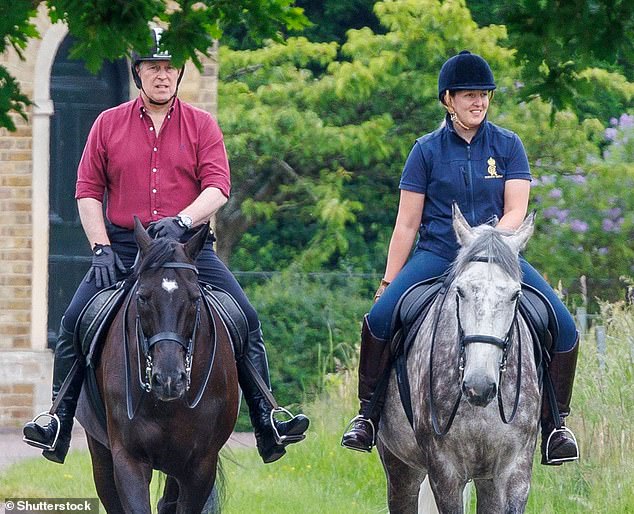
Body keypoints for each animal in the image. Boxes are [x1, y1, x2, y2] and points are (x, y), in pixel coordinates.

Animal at [76, 218, 238, 510]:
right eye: (142, 297)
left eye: (195, 298)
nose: (169, 380)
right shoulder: (128, 458)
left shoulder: (201, 466)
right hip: (101, 454)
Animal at [376, 205, 540, 512]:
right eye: (460, 291)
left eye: (516, 295)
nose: (479, 386)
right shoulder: (445, 471)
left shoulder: (516, 469)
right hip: (400, 467)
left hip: (486, 480)